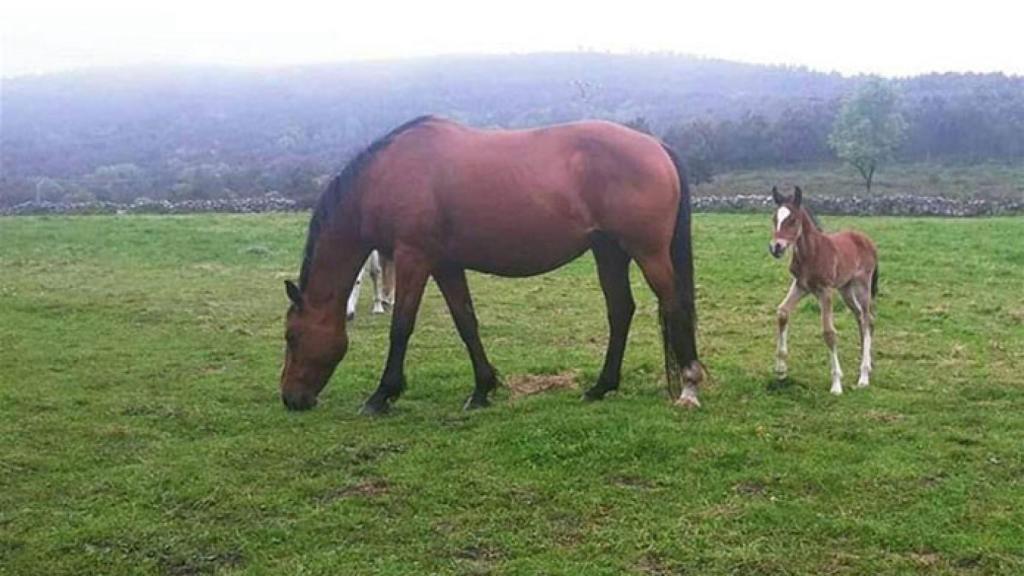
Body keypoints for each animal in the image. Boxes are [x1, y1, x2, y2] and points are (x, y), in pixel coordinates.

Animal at [280, 115, 704, 412]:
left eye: (291, 336)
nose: (291, 398)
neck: (386, 176)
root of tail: (656, 146)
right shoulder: (445, 264)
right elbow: (466, 322)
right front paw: (482, 389)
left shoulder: (413, 257)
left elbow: (401, 327)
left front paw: (382, 395)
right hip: (609, 251)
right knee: (620, 310)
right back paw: (601, 387)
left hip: (647, 252)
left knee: (674, 305)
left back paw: (689, 387)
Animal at [770, 186, 876, 391]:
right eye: (774, 219)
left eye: (792, 220)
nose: (775, 248)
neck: (811, 252)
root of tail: (867, 240)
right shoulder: (801, 285)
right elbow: (782, 312)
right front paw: (781, 369)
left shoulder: (825, 290)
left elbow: (828, 332)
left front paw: (836, 383)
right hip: (845, 289)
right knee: (862, 318)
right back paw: (866, 365)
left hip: (862, 286)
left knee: (867, 319)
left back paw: (864, 376)